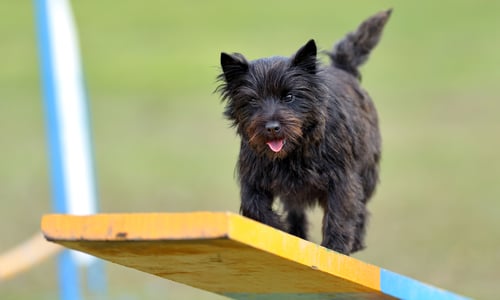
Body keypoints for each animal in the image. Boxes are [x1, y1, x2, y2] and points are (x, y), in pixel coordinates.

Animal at [217, 9, 392, 254]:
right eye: (252, 101)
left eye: (289, 96)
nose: (272, 127)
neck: (293, 152)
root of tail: (343, 68)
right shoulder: (253, 177)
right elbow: (254, 207)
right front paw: (279, 229)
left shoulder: (342, 178)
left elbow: (340, 213)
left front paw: (335, 248)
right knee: (296, 211)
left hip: (367, 170)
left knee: (361, 206)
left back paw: (355, 240)